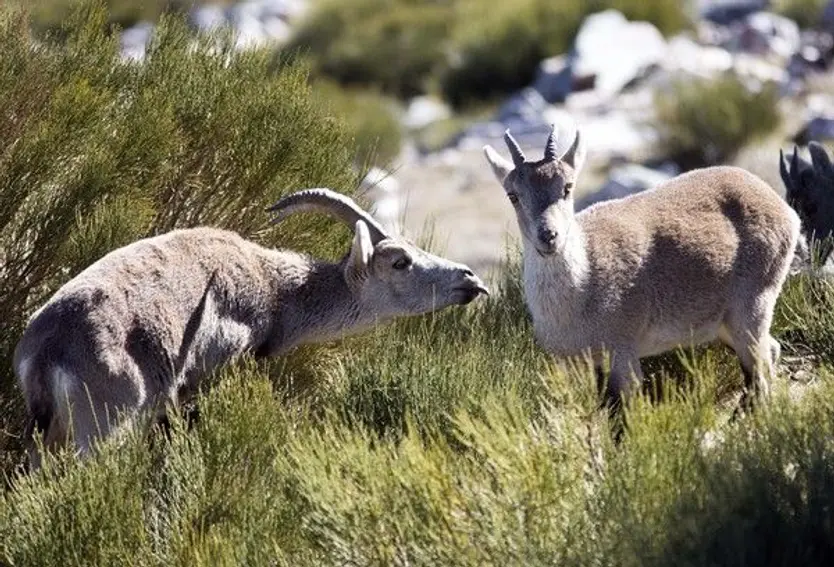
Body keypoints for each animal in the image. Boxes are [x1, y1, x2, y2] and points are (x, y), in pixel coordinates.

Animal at [14, 189, 488, 464]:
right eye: (400, 261)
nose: (470, 280)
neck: (275, 291)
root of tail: (45, 349)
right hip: (103, 425)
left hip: (50, 433)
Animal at [483, 125, 801, 432]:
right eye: (513, 195)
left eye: (567, 187)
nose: (549, 236)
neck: (583, 286)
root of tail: (783, 208)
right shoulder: (586, 364)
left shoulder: (622, 352)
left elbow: (623, 422)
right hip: (724, 324)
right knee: (771, 352)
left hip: (753, 303)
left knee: (760, 373)